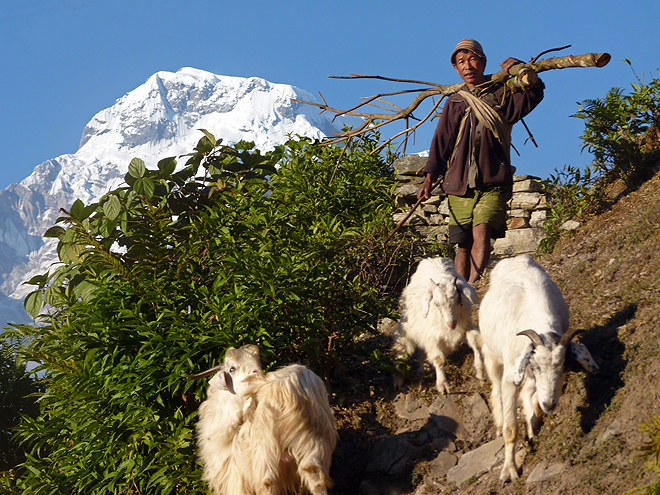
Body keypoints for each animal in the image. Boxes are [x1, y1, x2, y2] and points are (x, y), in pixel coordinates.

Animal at [187, 344, 338, 495]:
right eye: (232, 368)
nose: (257, 371)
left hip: (264, 451)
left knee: (267, 483)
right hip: (312, 444)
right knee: (315, 477)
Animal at [392, 258, 484, 394]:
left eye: (459, 300)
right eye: (436, 304)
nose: (451, 324)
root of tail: (432, 259)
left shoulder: (466, 326)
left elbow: (475, 343)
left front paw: (480, 371)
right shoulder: (432, 337)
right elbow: (439, 360)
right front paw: (442, 385)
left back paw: (424, 366)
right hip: (406, 326)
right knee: (402, 348)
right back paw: (398, 379)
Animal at [476, 256, 600, 484]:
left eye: (565, 366)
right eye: (535, 365)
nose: (550, 404)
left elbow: (531, 396)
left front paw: (535, 421)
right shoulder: (512, 375)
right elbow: (510, 428)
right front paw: (509, 471)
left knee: (527, 391)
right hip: (492, 353)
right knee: (496, 386)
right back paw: (499, 421)